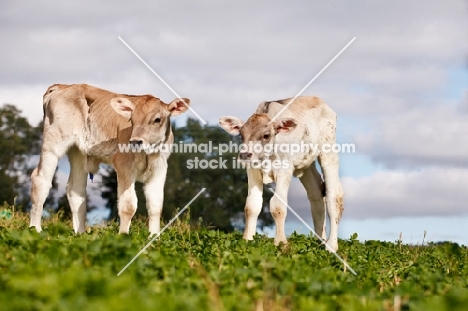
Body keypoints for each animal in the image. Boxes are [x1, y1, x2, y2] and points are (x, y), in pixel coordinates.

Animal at [30, 84, 190, 235]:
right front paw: (123, 236)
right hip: (53, 143)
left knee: (75, 190)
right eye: (132, 120)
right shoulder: (124, 166)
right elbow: (128, 205)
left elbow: (155, 206)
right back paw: (35, 229)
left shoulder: (160, 168)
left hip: (78, 152)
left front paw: (154, 237)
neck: (147, 155)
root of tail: (62, 86)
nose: (135, 141)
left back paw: (80, 234)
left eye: (157, 119)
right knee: (40, 179)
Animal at [219, 96, 344, 252]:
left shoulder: (285, 169)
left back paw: (331, 245)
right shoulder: (253, 171)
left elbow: (278, 205)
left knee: (334, 196)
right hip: (306, 166)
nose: (245, 155)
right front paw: (247, 240)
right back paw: (319, 241)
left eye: (266, 135)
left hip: (328, 153)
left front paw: (280, 242)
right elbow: (251, 205)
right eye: (241, 135)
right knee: (316, 196)